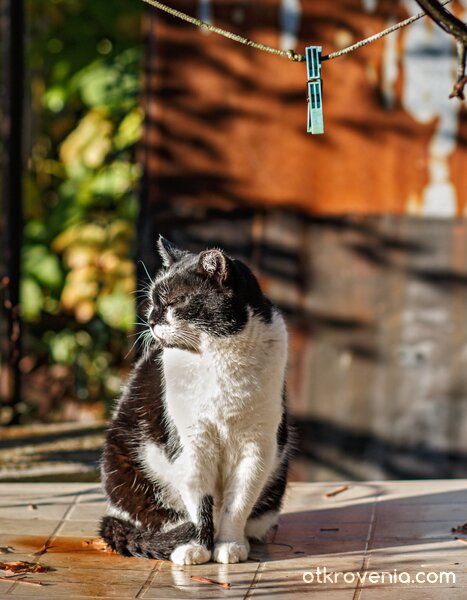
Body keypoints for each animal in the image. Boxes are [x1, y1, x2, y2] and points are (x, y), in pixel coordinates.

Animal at [100, 237, 290, 564]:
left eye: (175, 302)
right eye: (153, 301)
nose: (150, 320)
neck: (219, 359)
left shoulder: (257, 445)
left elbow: (238, 502)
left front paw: (229, 545)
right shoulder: (191, 443)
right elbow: (198, 503)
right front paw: (197, 547)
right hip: (123, 461)